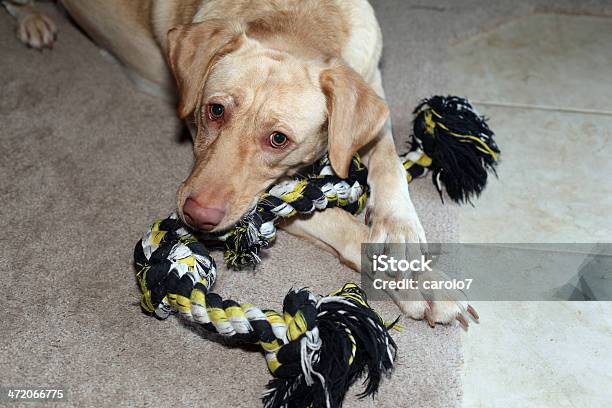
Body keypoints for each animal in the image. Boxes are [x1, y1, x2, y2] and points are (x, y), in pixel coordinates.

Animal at [3, 0, 474, 326]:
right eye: (214, 110)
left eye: (278, 139)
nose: (196, 216)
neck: (299, 19)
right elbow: (347, 226)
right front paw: (422, 284)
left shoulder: (373, 96)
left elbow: (389, 164)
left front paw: (399, 229)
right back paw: (32, 19)